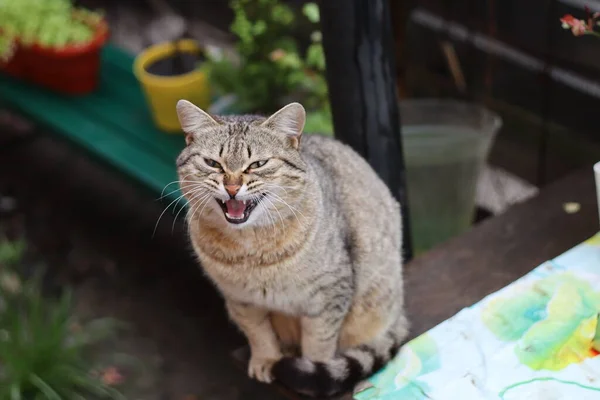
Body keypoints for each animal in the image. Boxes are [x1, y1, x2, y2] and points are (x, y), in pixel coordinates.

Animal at [173, 100, 408, 396]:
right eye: (212, 163)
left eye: (258, 164)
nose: (232, 187)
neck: (251, 249)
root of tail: (400, 313)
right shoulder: (241, 301)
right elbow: (259, 335)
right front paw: (266, 360)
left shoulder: (329, 296)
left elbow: (319, 344)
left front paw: (312, 370)